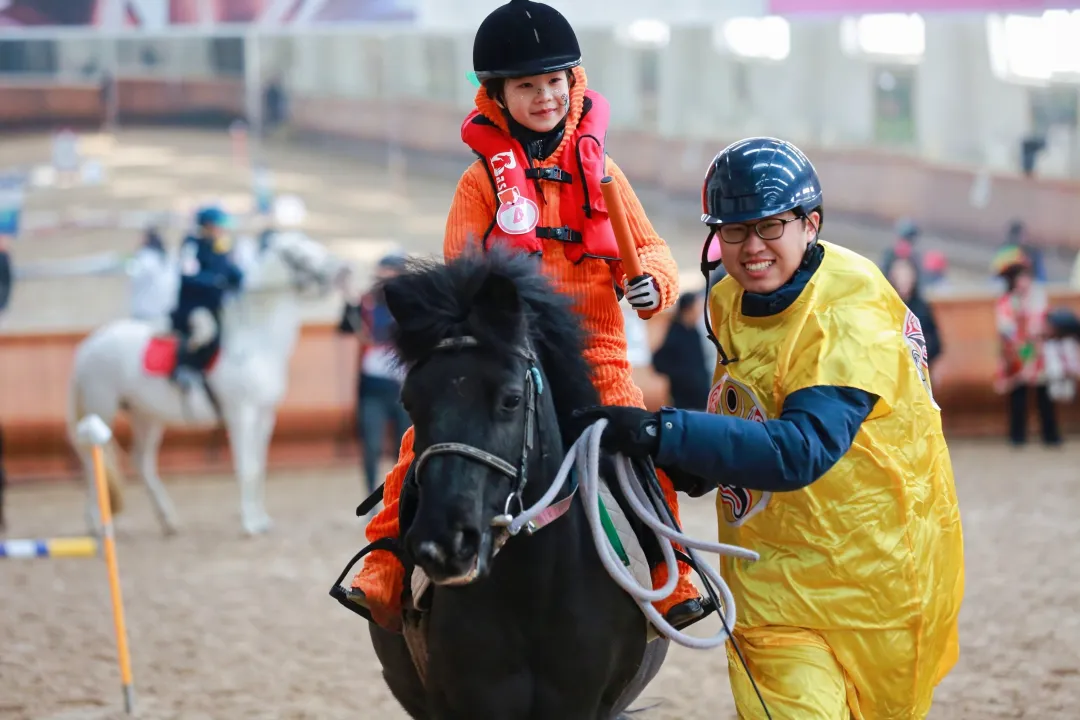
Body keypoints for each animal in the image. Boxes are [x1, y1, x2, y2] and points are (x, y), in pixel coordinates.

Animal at [67, 230, 348, 537]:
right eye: (297, 254)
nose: (342, 271)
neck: (257, 343)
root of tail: (88, 346)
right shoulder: (241, 414)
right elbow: (247, 467)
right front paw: (250, 524)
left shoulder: (265, 415)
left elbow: (259, 467)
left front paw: (261, 520)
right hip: (101, 409)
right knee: (91, 458)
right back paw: (97, 525)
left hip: (146, 417)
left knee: (141, 462)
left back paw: (168, 520)